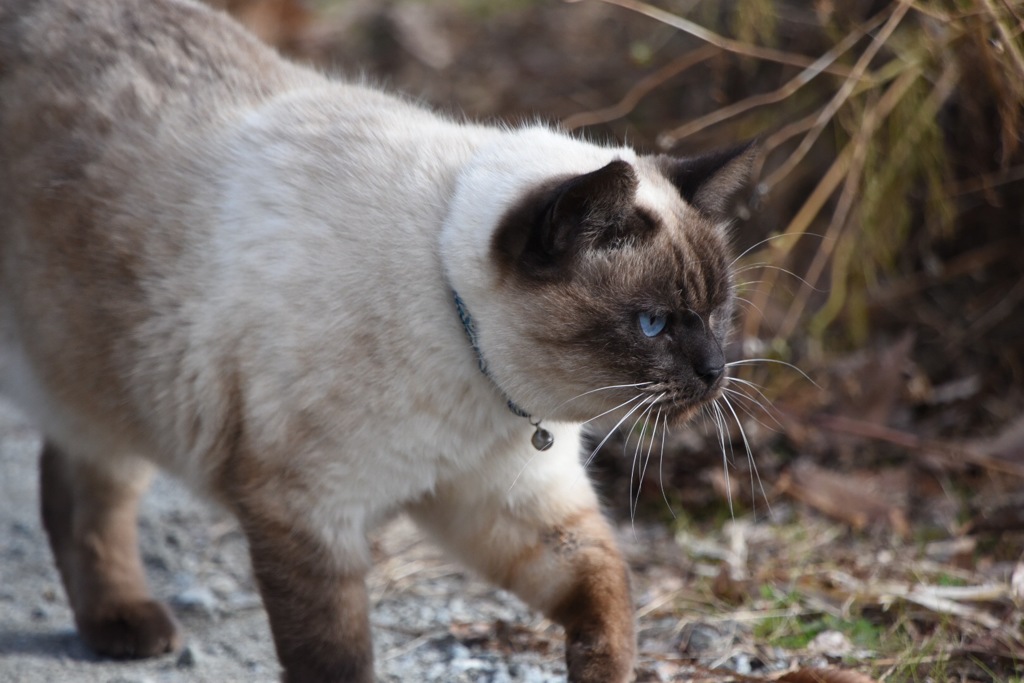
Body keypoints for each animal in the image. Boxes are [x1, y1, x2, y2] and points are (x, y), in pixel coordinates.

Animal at [0, 1, 753, 683]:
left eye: (718, 313)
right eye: (653, 323)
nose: (715, 371)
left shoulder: (511, 505)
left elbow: (605, 591)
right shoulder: (308, 512)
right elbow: (335, 657)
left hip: (112, 387)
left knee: (74, 482)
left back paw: (118, 625)